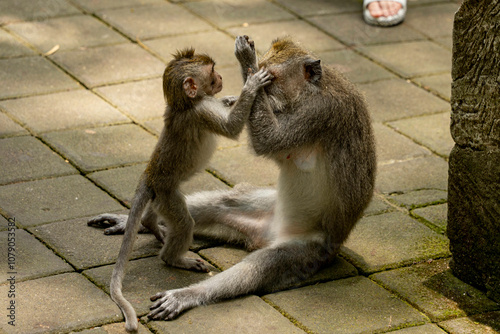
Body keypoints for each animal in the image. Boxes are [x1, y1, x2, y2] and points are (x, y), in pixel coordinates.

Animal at [99, 47, 272, 332]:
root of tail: (149, 174)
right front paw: (251, 84)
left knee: (157, 216)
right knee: (183, 223)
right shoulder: (201, 112)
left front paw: (230, 99)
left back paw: (149, 223)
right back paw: (175, 258)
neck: (185, 104)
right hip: (166, 195)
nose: (221, 77)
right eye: (212, 73)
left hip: (160, 196)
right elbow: (230, 129)